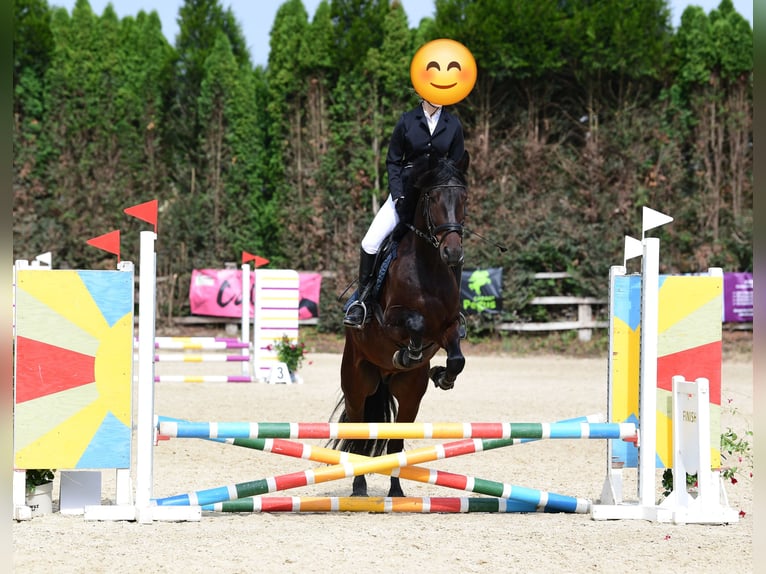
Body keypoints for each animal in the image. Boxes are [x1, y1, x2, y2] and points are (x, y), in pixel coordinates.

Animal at [332, 152, 469, 497]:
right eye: (433, 198)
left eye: (464, 198)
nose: (453, 253)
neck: (430, 267)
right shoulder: (390, 320)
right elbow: (415, 322)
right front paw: (408, 353)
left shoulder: (448, 328)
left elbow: (457, 356)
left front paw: (442, 375)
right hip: (357, 383)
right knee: (358, 434)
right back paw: (359, 487)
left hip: (409, 393)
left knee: (395, 442)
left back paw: (396, 491)